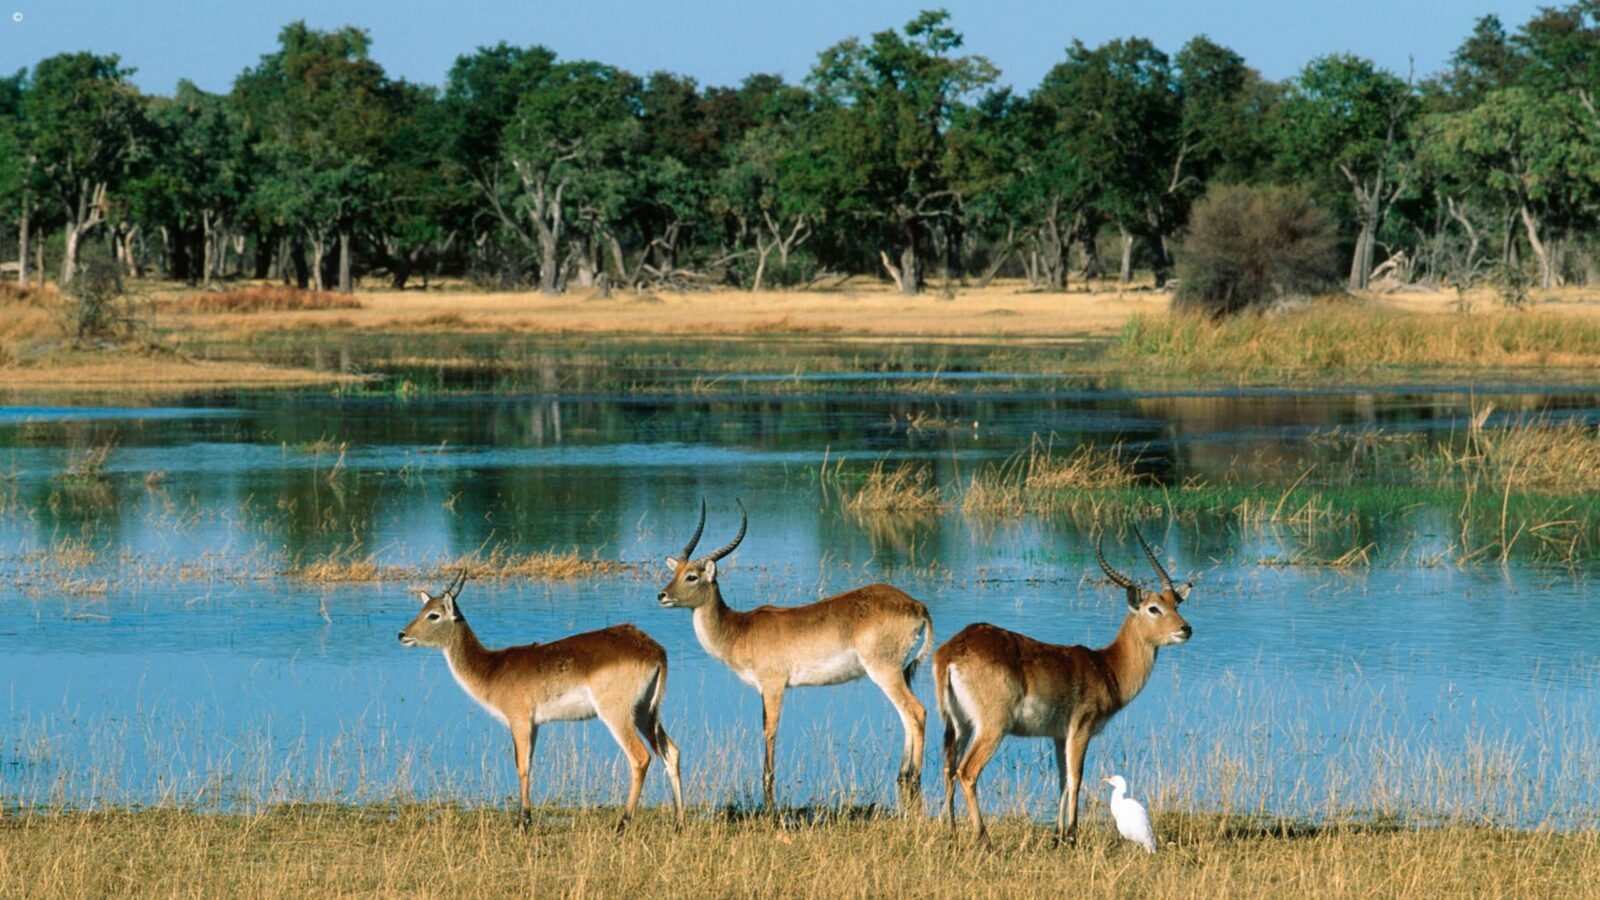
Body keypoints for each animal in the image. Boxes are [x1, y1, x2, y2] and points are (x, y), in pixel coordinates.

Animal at [398, 571, 685, 832]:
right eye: (423, 608)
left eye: (433, 615)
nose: (402, 634)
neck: (492, 669)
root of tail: (654, 649)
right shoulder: (534, 725)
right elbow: (529, 764)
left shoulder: (519, 721)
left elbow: (521, 766)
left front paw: (522, 823)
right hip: (645, 713)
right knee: (671, 752)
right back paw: (678, 824)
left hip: (617, 714)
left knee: (640, 758)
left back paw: (622, 825)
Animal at [657, 500, 934, 812]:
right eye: (676, 572)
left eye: (692, 576)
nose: (662, 595)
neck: (740, 629)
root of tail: (917, 605)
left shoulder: (774, 685)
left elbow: (770, 729)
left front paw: (767, 780)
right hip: (898, 672)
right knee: (906, 716)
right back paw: (903, 774)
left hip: (884, 670)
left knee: (917, 711)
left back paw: (914, 778)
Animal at [934, 527, 1191, 845]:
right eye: (1154, 608)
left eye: (1176, 604)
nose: (1185, 629)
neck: (1106, 667)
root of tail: (953, 650)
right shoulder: (1080, 729)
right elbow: (1076, 777)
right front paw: (1071, 833)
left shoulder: (1058, 735)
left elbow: (1062, 779)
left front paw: (1058, 833)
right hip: (992, 727)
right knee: (967, 771)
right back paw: (983, 836)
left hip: (959, 724)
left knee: (948, 767)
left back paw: (952, 830)